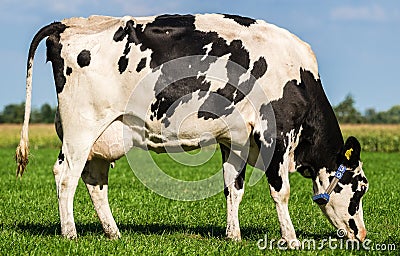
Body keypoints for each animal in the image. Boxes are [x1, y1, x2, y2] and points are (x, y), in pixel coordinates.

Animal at [17, 14, 370, 246]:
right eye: (360, 188)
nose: (362, 235)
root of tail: (71, 23)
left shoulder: (235, 138)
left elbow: (233, 187)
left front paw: (233, 236)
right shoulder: (277, 132)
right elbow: (280, 190)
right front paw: (292, 240)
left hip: (106, 134)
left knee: (94, 181)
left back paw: (113, 233)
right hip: (81, 127)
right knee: (66, 175)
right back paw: (70, 233)